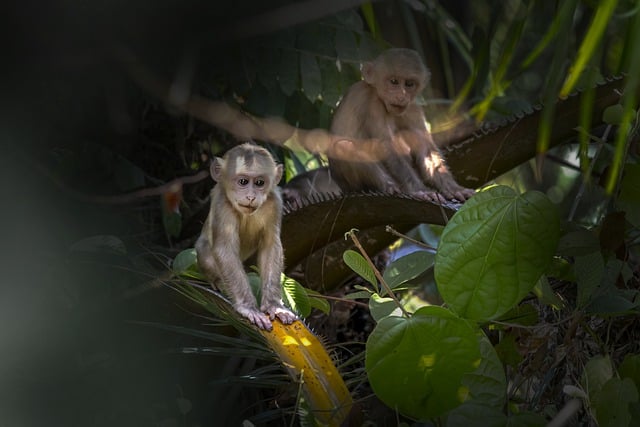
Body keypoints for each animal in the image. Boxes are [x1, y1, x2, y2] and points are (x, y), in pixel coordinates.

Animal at [195, 144, 298, 332]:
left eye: (259, 183)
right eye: (243, 182)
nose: (251, 196)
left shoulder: (275, 202)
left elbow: (271, 246)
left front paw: (273, 305)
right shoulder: (222, 203)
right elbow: (225, 249)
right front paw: (248, 307)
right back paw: (218, 283)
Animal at [330, 49, 476, 203]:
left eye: (409, 84)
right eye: (394, 81)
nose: (401, 96)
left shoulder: (413, 107)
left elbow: (426, 147)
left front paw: (453, 188)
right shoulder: (373, 103)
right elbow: (386, 145)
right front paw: (420, 190)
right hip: (351, 185)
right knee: (344, 146)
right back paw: (388, 186)